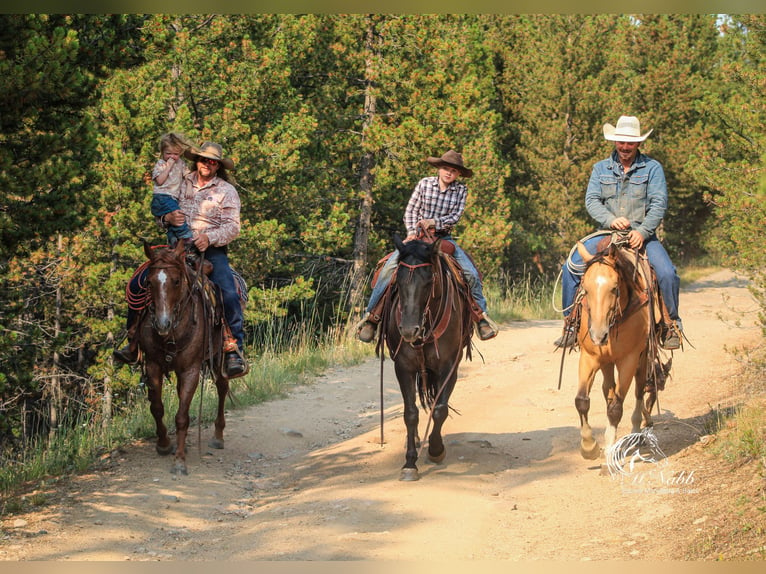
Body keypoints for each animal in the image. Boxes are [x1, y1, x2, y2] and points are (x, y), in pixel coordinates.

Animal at [136, 241, 231, 474]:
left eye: (177, 281)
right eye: (149, 282)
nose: (162, 323)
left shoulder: (191, 370)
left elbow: (181, 416)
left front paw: (179, 460)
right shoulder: (153, 366)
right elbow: (157, 407)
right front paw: (163, 444)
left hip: (218, 358)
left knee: (222, 388)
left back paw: (218, 436)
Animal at [378, 234, 474, 482]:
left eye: (429, 282)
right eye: (398, 281)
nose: (408, 330)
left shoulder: (449, 366)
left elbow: (440, 409)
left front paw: (436, 449)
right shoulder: (403, 367)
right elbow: (410, 413)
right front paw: (410, 463)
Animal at [568, 240, 660, 464]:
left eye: (614, 288)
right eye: (585, 289)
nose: (598, 334)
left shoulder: (629, 360)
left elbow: (616, 408)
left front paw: (609, 454)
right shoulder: (589, 358)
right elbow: (581, 401)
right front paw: (589, 447)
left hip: (642, 359)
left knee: (639, 391)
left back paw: (635, 434)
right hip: (607, 363)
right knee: (608, 389)